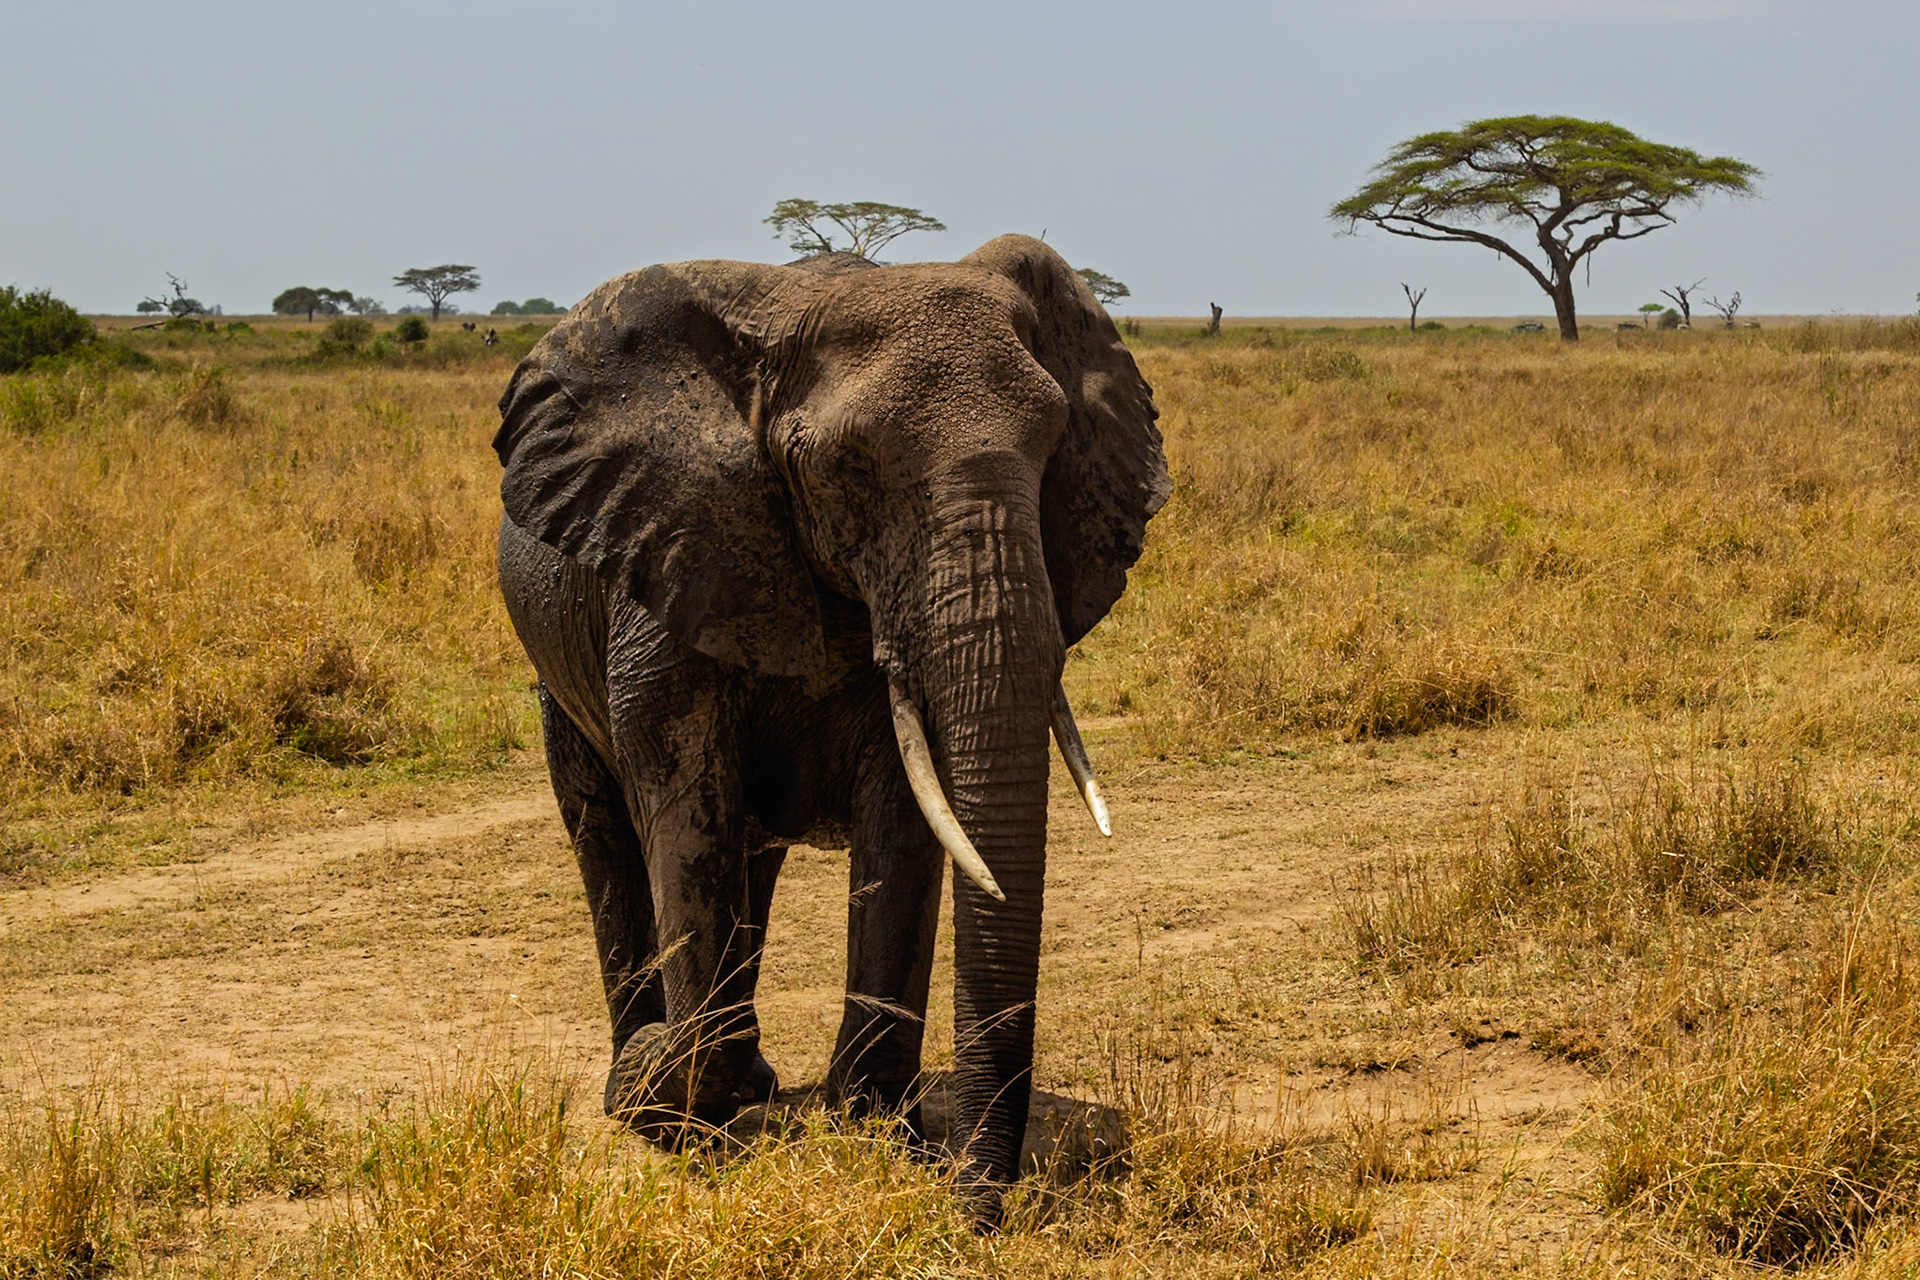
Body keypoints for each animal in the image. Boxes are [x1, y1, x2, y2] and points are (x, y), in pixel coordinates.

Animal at [492, 234, 1167, 1222]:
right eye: (848, 469)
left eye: (1053, 451)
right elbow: (685, 803)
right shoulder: (668, 565)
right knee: (612, 832)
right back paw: (663, 1064)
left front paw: (877, 1134)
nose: (978, 1213)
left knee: (751, 855)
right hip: (554, 662)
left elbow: (906, 815)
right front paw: (678, 1107)